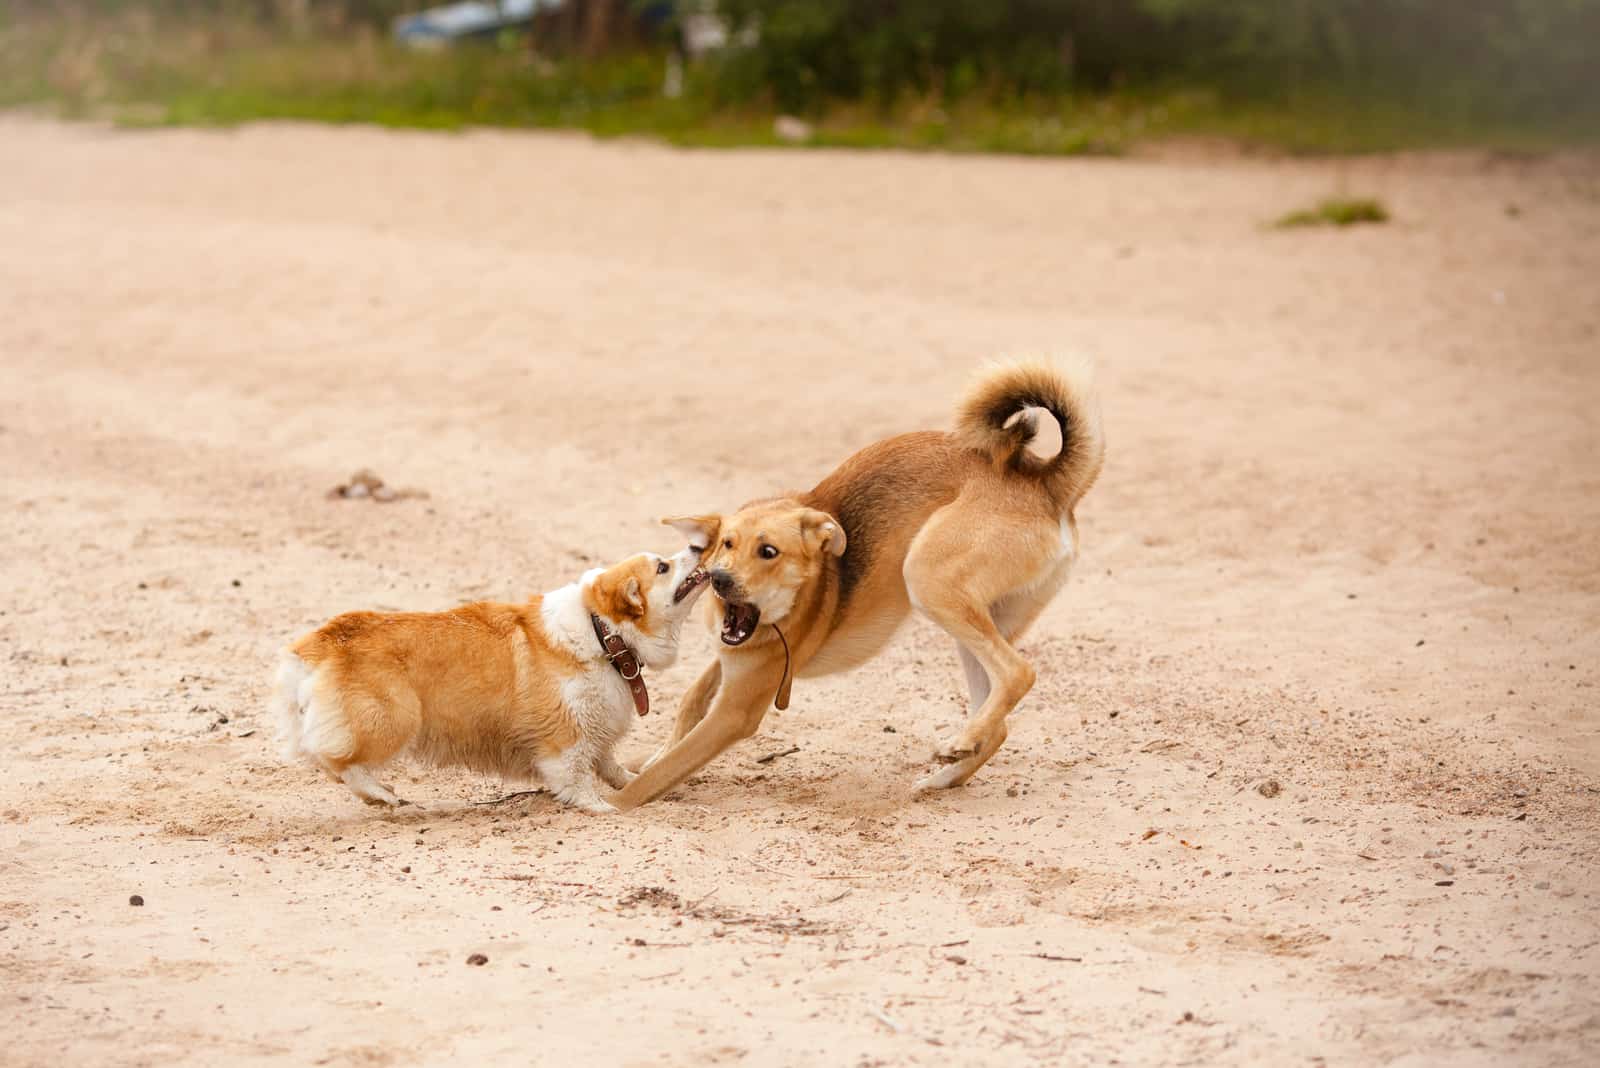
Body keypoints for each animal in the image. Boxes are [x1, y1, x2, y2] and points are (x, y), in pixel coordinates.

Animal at [272, 543, 710, 808]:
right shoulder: (564, 736)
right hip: (394, 720)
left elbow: (609, 764)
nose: (697, 547)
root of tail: (319, 642)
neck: (602, 633)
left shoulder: (594, 726)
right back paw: (382, 794)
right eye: (663, 566)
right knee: (334, 760)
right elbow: (576, 779)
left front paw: (633, 781)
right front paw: (601, 807)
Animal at [617, 361, 1107, 808]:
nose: (719, 579)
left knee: (1019, 672)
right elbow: (689, 704)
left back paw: (959, 745)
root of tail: (1045, 483)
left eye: (769, 552)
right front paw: (649, 756)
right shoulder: (731, 661)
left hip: (927, 579)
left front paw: (612, 803)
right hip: (978, 622)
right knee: (1000, 720)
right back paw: (948, 770)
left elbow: (654, 778)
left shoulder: (737, 711)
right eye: (727, 544)